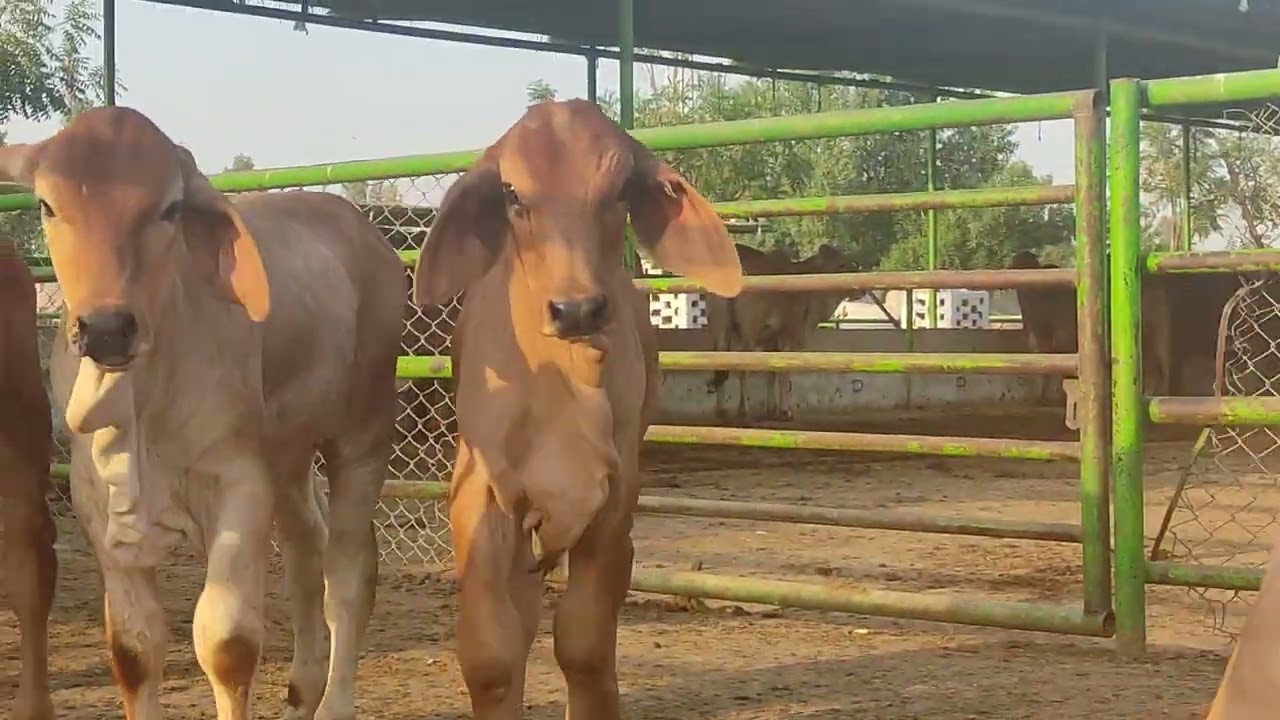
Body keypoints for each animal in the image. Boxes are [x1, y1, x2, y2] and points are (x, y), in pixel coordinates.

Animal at [0, 106, 406, 720]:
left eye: (170, 207)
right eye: (47, 205)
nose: (107, 328)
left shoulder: (240, 484)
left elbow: (226, 643)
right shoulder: (98, 506)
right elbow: (134, 648)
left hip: (362, 434)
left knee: (348, 574)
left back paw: (333, 702)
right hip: (289, 457)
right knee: (306, 553)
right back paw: (301, 691)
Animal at [411, 98, 742, 719]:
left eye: (621, 189)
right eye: (512, 193)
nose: (577, 309)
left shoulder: (613, 502)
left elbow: (586, 650)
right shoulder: (480, 493)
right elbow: (492, 657)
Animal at [706, 242, 860, 422]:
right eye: (841, 264)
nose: (861, 289)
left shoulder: (770, 341)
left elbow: (771, 373)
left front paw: (771, 408)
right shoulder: (789, 336)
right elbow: (784, 373)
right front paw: (785, 411)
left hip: (720, 328)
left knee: (720, 364)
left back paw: (721, 409)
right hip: (748, 332)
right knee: (742, 369)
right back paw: (743, 410)